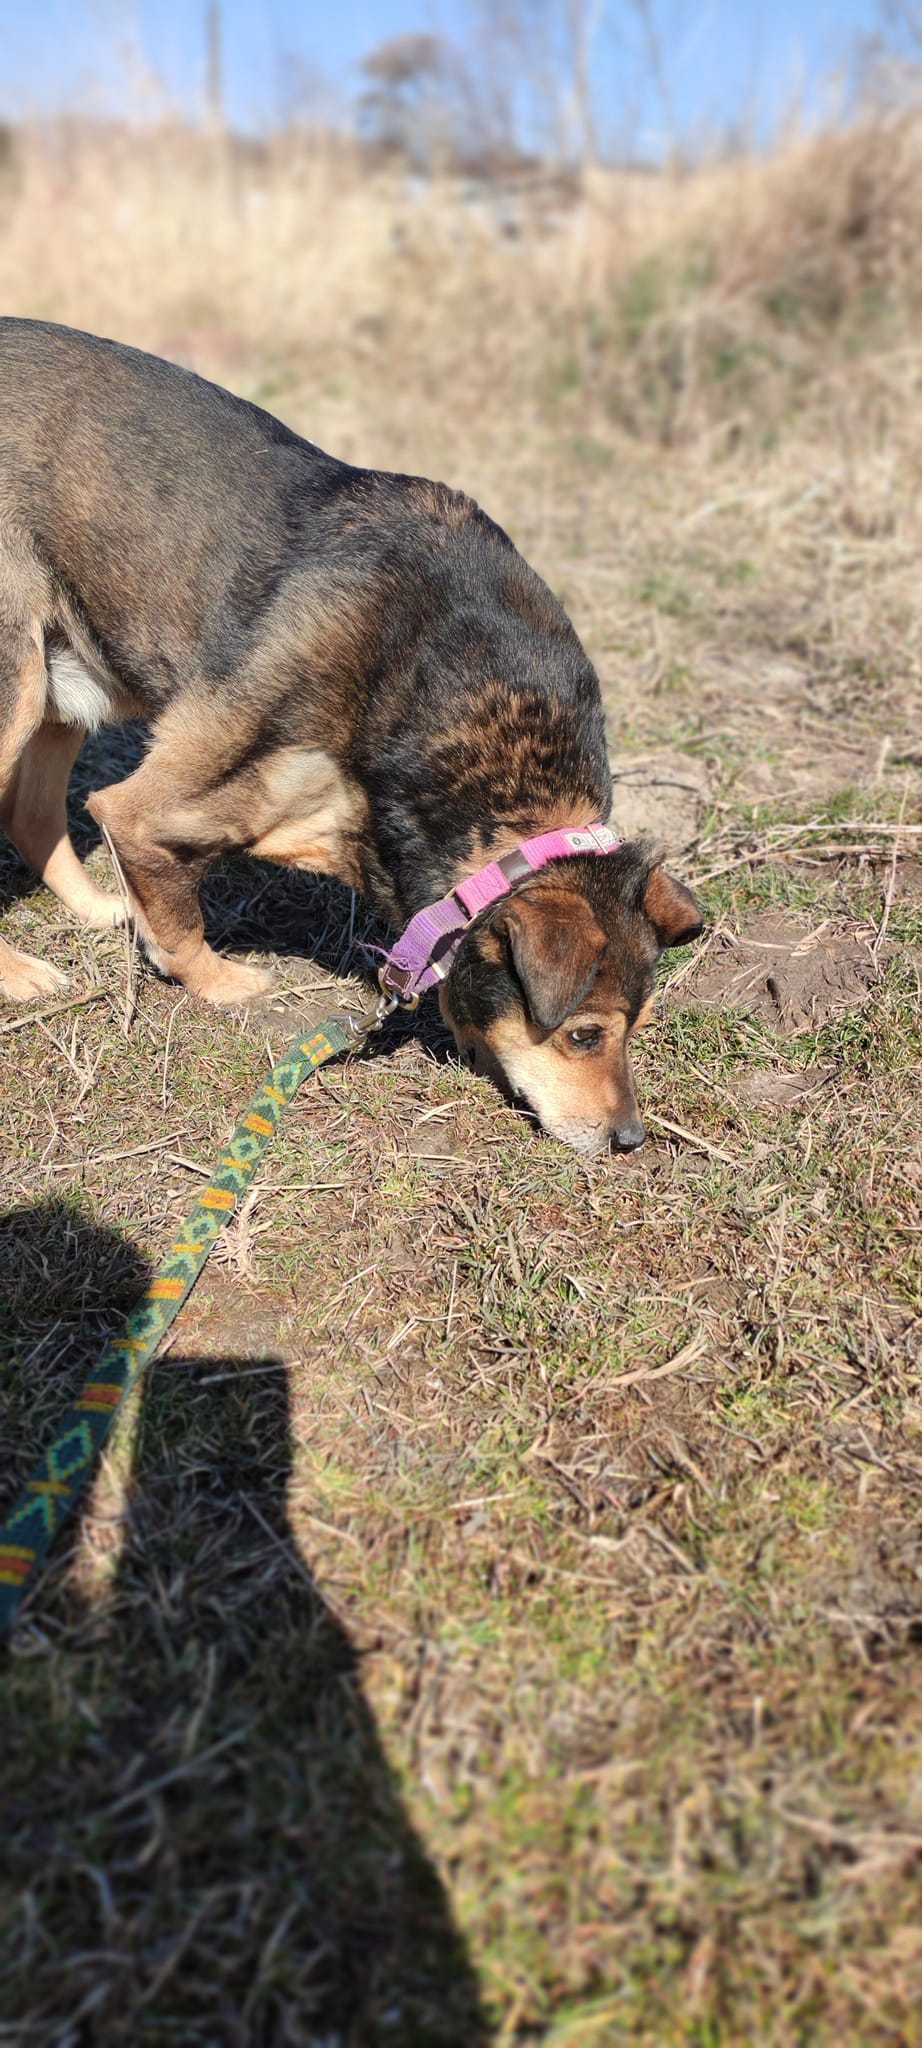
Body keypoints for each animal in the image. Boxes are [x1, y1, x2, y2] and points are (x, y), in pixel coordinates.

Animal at [0, 319, 700, 1155]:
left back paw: (95, 909)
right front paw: (222, 982)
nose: (630, 1140)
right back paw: (18, 973)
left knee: (29, 810)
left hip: (66, 682)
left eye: (639, 1027)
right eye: (583, 1036)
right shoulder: (149, 811)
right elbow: (179, 917)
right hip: (17, 684)